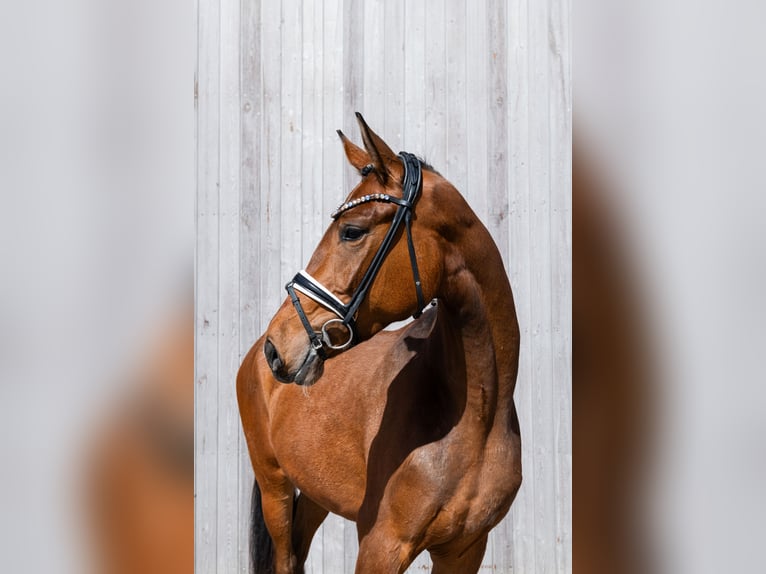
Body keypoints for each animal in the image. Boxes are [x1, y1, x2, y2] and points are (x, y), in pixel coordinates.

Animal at [237, 113, 521, 573]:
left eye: (351, 231)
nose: (277, 347)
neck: (477, 418)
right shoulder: (381, 546)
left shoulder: (465, 550)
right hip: (273, 487)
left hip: (316, 493)